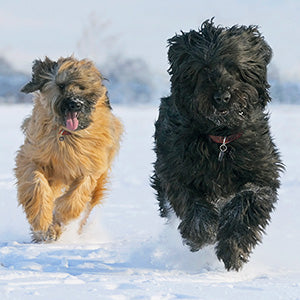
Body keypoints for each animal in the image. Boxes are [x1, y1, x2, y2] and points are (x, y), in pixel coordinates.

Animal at [14, 56, 122, 243]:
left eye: (82, 87)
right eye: (61, 85)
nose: (75, 104)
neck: (67, 134)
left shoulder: (89, 168)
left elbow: (76, 197)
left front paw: (59, 220)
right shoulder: (31, 158)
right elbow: (36, 185)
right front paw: (42, 222)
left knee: (86, 207)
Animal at [151, 19, 284, 270]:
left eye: (234, 67)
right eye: (203, 68)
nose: (222, 97)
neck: (221, 139)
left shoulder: (262, 173)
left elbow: (247, 201)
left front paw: (233, 249)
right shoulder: (177, 172)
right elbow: (192, 204)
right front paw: (201, 234)